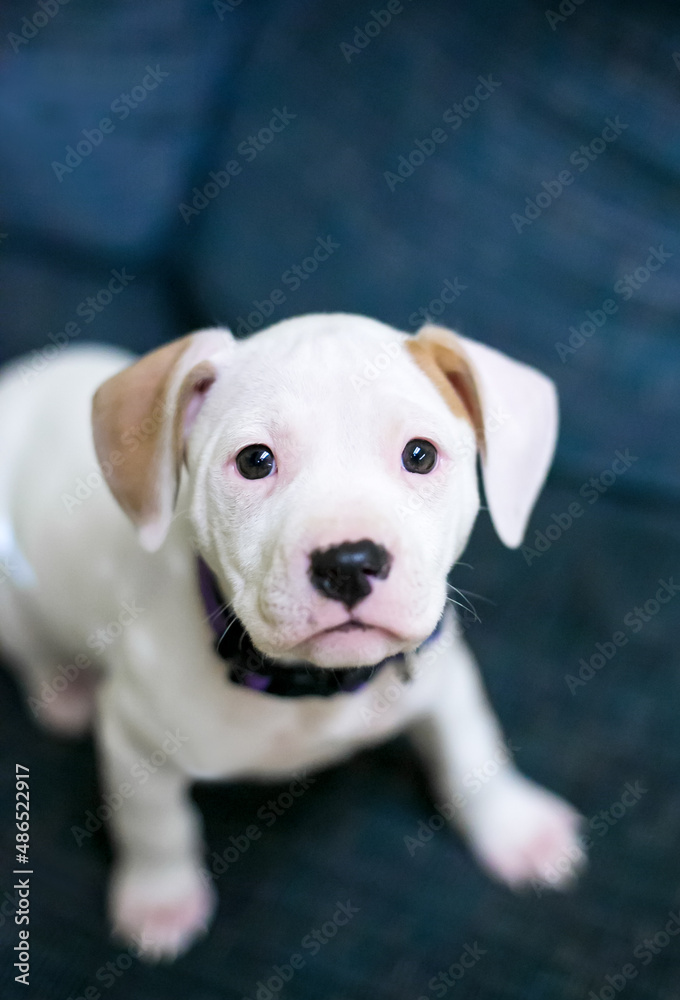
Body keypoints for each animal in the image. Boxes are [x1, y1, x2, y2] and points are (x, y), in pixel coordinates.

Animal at [0, 314, 584, 960]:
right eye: (256, 461)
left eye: (420, 454)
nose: (348, 562)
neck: (312, 690)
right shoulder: (133, 737)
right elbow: (155, 826)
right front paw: (160, 900)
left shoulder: (444, 676)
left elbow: (473, 751)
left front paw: (515, 827)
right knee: (29, 648)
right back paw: (63, 694)